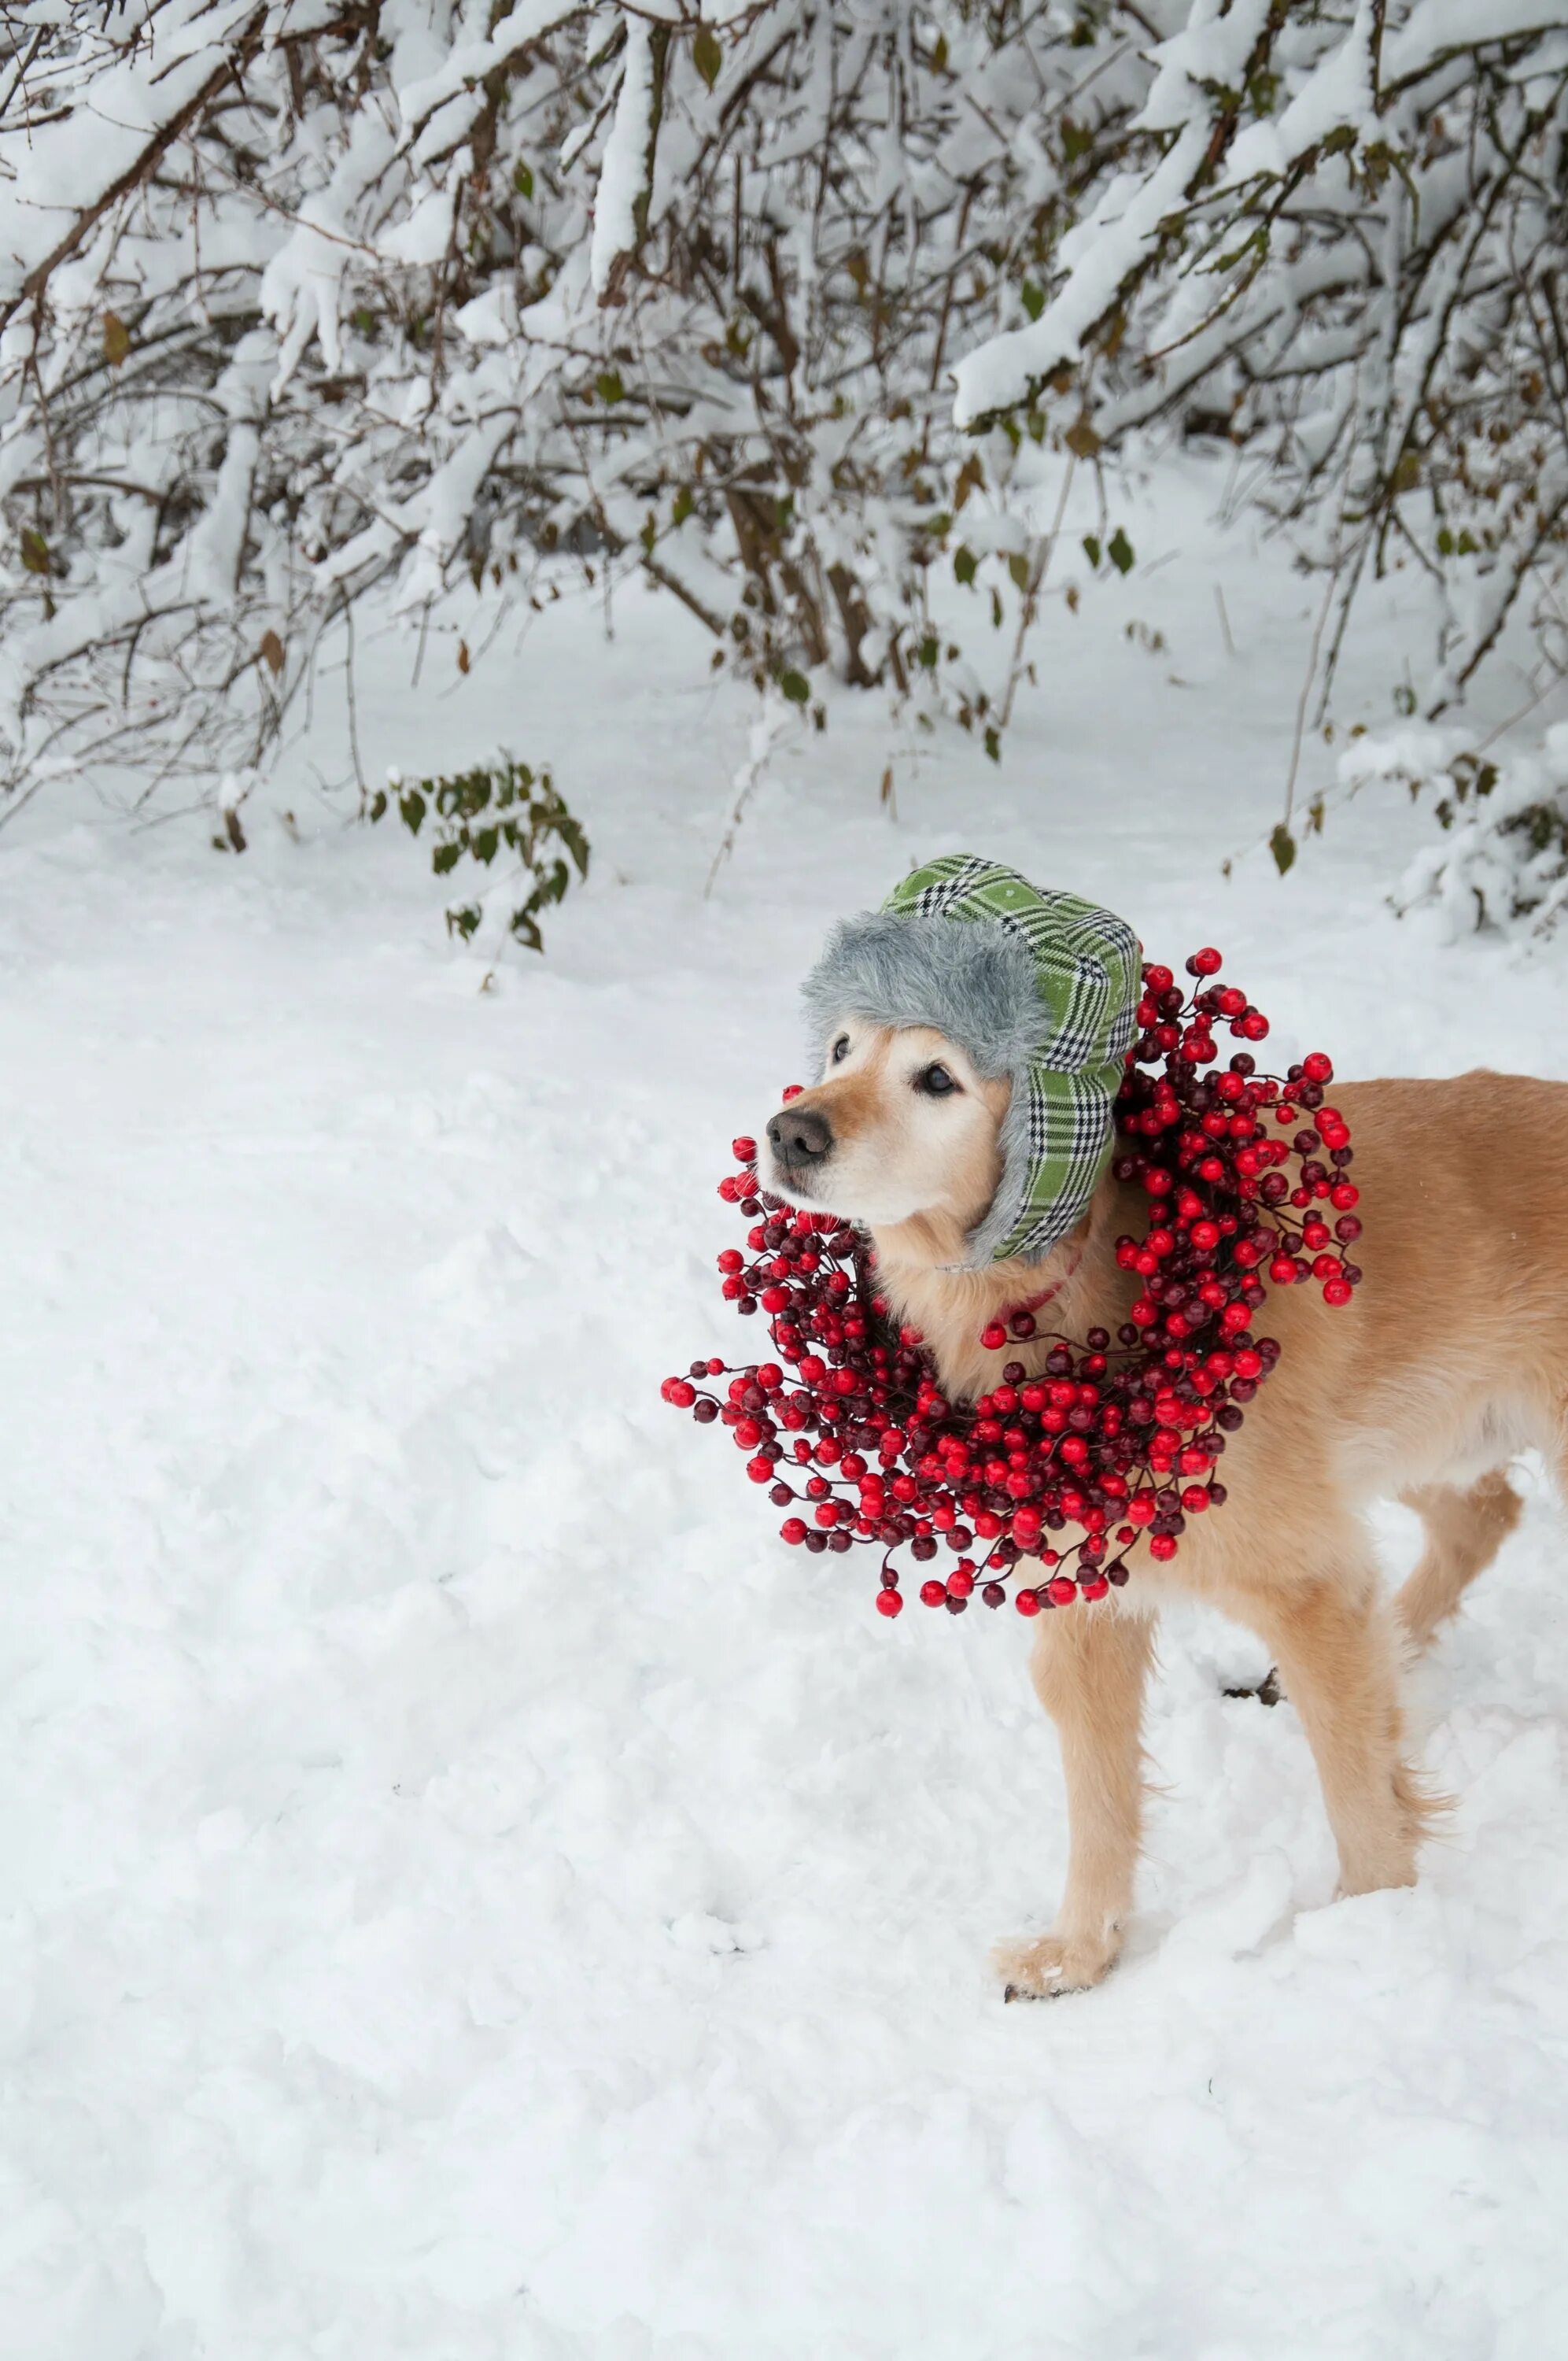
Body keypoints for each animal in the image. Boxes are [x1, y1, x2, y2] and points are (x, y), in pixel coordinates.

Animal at [760, 1025, 1568, 2002]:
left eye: (938, 1078)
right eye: (841, 1047)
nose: (789, 1132)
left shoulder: (1306, 1583)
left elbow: (1355, 1784)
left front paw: (1369, 1926)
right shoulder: (1086, 1603)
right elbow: (1100, 1802)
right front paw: (1077, 1955)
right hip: (1403, 1435)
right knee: (1482, 1514)